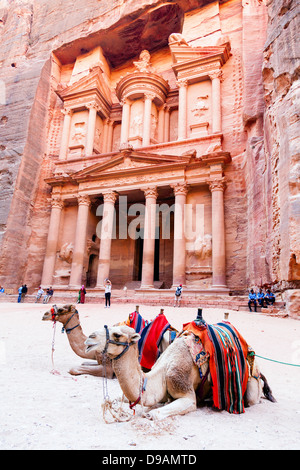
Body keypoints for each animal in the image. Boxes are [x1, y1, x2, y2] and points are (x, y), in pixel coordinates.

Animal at [85, 314, 276, 420]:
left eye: (117, 334)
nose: (89, 339)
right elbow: (119, 398)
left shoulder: (181, 384)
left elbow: (154, 414)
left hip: (251, 382)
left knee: (253, 397)